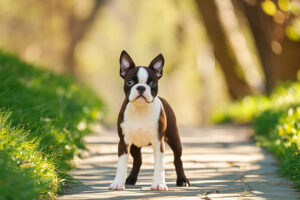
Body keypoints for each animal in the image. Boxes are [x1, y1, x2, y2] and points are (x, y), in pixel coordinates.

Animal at [109, 50, 190, 191]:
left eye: (152, 84)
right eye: (129, 82)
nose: (141, 87)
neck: (140, 109)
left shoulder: (158, 142)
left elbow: (159, 165)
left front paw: (159, 184)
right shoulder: (124, 142)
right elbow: (121, 164)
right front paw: (118, 183)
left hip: (174, 138)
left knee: (177, 159)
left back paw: (182, 180)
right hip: (134, 146)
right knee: (138, 160)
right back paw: (130, 179)